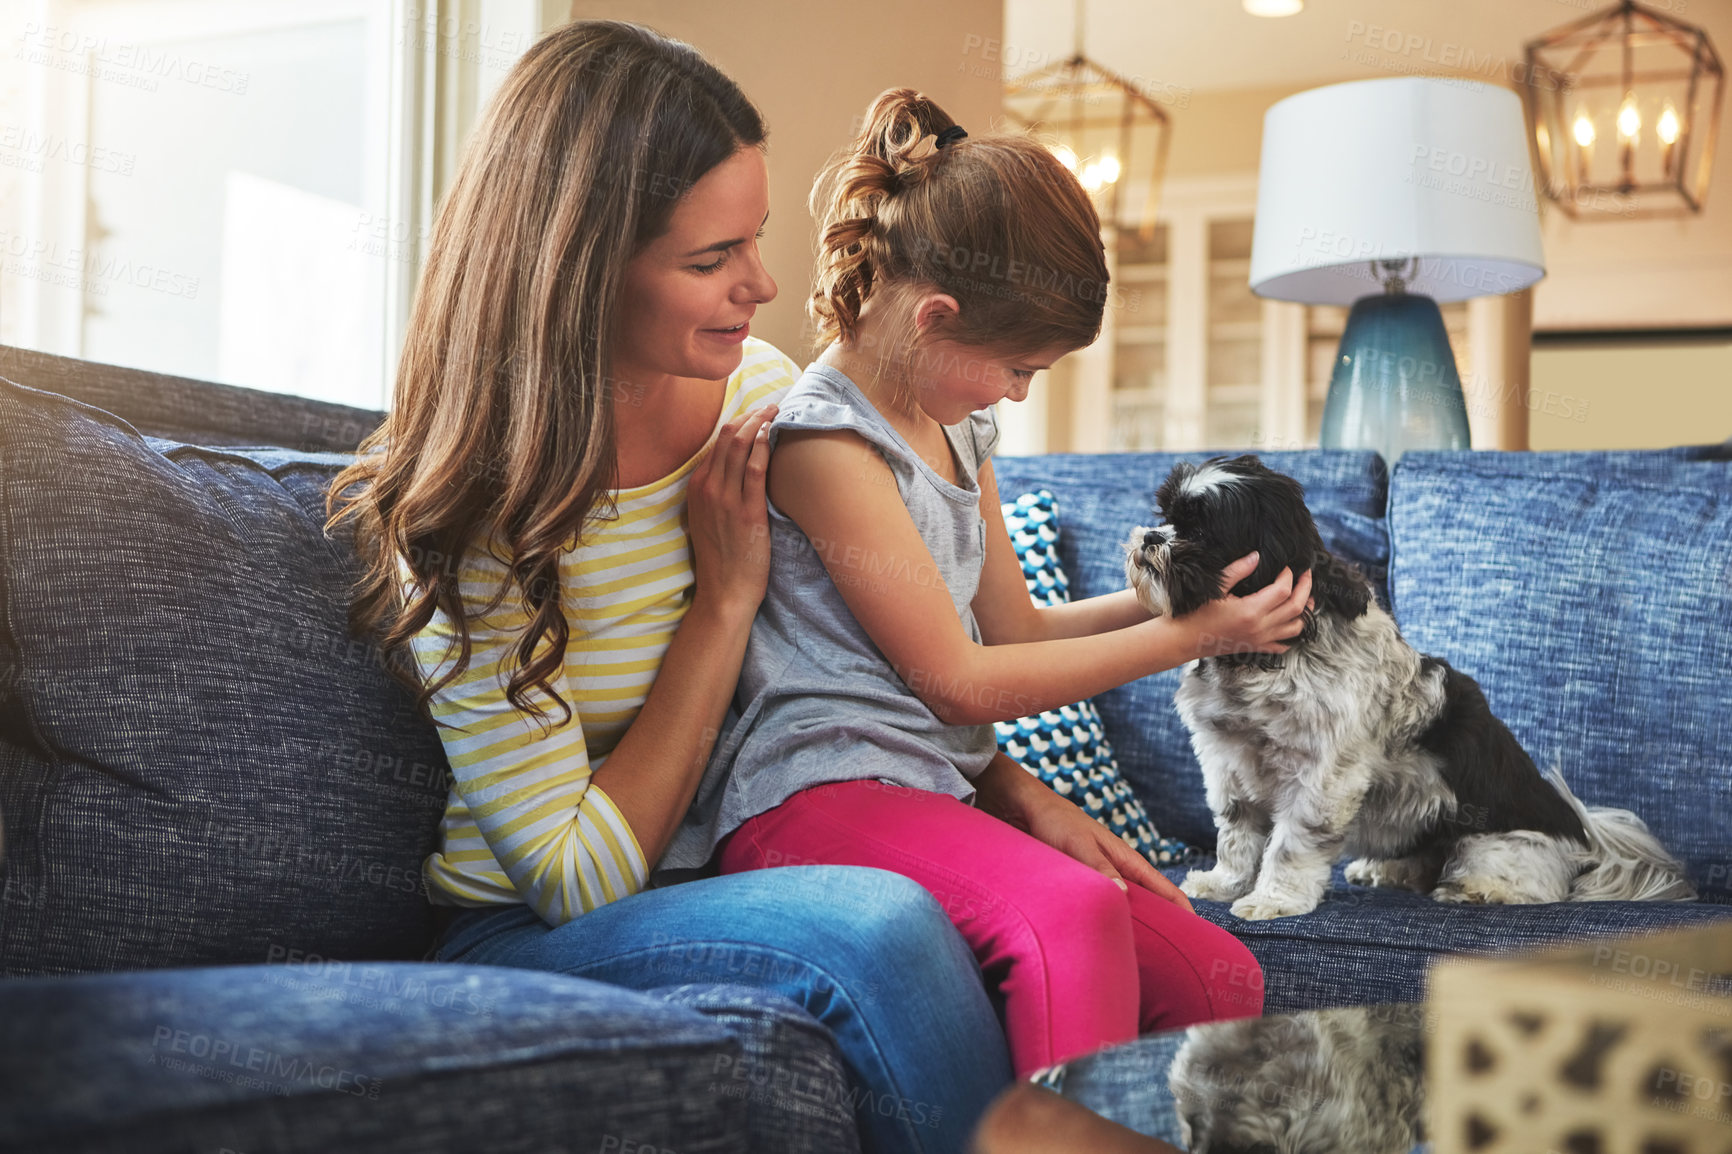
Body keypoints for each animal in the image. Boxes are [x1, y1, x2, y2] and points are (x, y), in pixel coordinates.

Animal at [1122, 450, 1690, 914]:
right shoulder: (1229, 760)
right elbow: (1237, 835)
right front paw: (1226, 884)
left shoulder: (1324, 776)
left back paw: (1478, 888)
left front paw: (1273, 899)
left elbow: (1291, 843)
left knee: (1525, 881)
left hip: (1496, 842)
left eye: (1201, 533)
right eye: (1166, 517)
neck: (1262, 659)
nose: (1151, 537)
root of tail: (1586, 838)